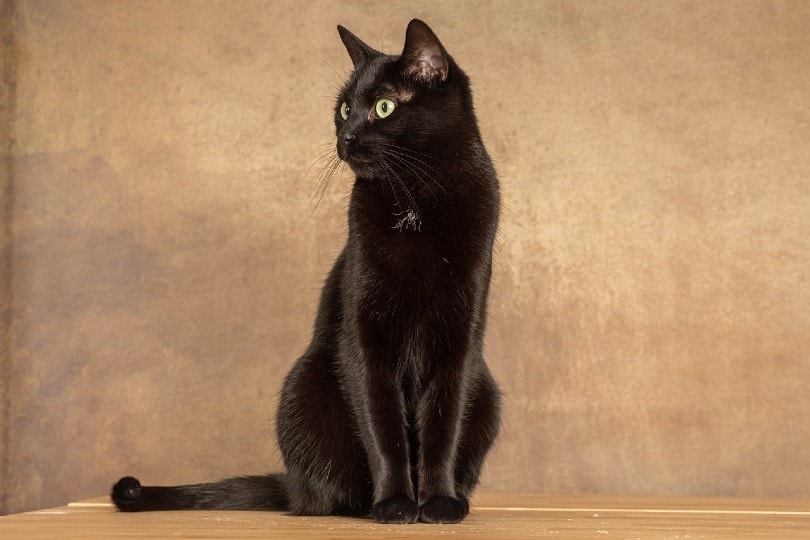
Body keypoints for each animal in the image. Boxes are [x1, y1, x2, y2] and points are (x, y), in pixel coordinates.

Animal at [107, 19, 498, 524]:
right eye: (345, 109)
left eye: (385, 106)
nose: (344, 138)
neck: (415, 199)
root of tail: (290, 486)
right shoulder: (362, 336)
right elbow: (382, 425)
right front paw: (394, 504)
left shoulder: (460, 339)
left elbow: (443, 425)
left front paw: (439, 503)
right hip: (304, 387)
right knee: (327, 494)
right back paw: (361, 505)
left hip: (487, 392)